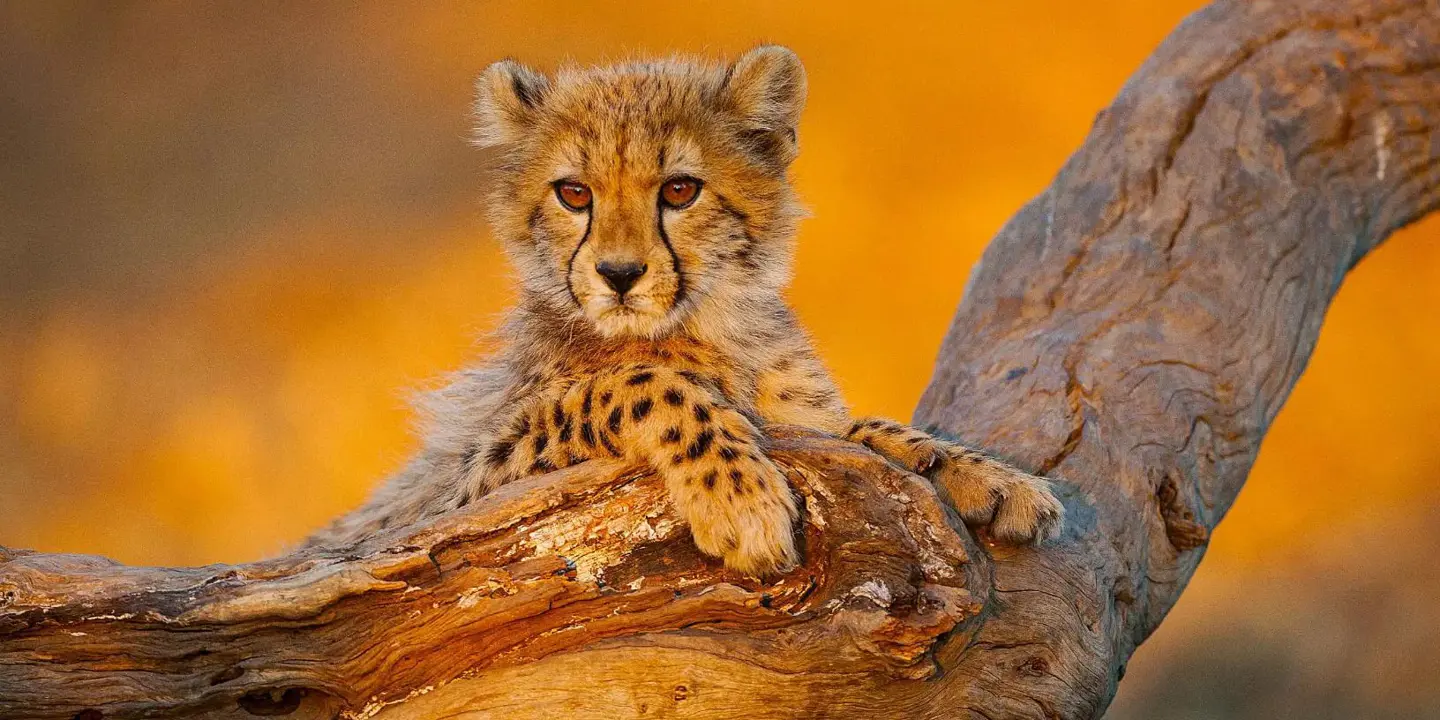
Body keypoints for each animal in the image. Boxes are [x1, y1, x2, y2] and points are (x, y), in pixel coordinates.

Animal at [308, 46, 1064, 576]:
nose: (618, 274)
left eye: (679, 190)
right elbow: (640, 385)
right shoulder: (470, 493)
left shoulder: (811, 424)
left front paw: (988, 476)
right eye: (573, 193)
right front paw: (740, 500)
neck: (708, 328)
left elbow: (859, 429)